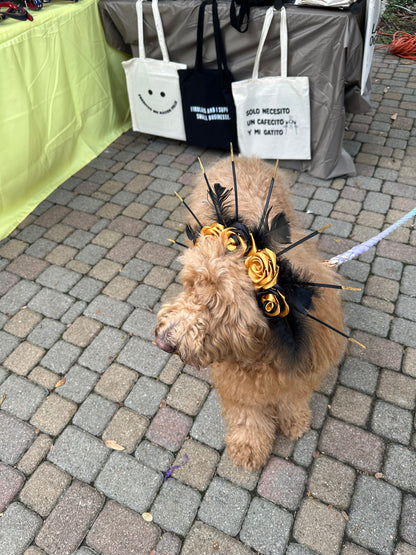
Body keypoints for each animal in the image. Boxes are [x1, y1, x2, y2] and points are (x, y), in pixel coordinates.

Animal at [154, 157, 346, 474]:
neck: (261, 348)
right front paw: (249, 445)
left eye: (217, 304)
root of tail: (243, 157)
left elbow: (292, 395)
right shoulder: (238, 377)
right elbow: (247, 415)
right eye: (191, 285)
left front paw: (294, 419)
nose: (164, 342)